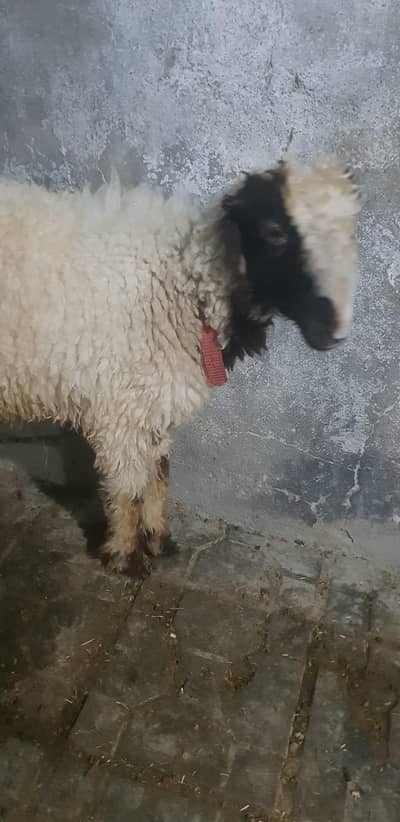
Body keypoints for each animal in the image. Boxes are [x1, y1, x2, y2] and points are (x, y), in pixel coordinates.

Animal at [0, 157, 360, 575]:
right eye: (274, 232)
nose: (334, 330)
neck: (180, 285)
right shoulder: (120, 409)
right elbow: (127, 486)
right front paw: (126, 556)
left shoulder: (156, 402)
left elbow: (159, 475)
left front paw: (158, 538)